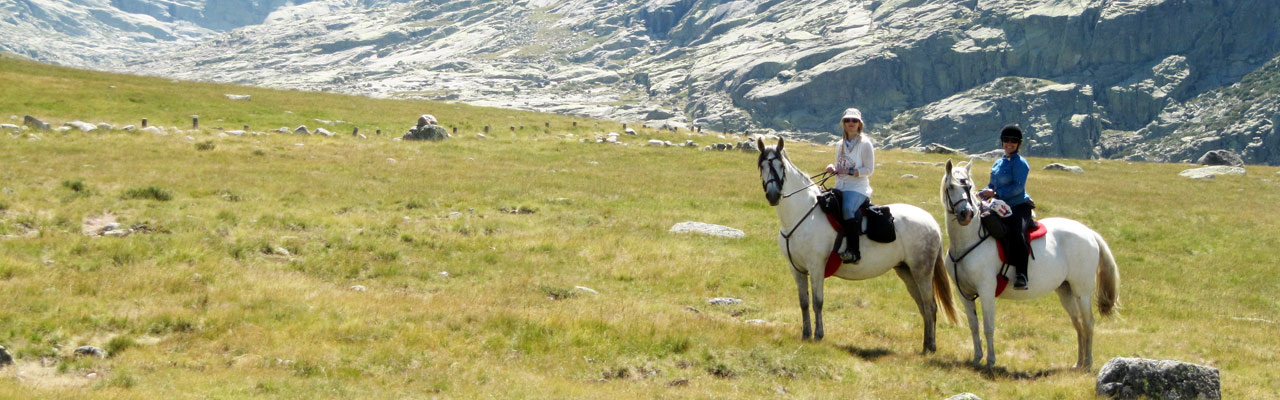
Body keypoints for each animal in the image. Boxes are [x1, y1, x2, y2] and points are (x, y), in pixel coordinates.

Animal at [752, 138, 957, 353]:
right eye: (762, 166)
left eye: (781, 166)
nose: (773, 195)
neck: (802, 214)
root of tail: (932, 223)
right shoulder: (797, 269)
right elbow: (804, 302)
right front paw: (806, 334)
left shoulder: (816, 267)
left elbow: (817, 302)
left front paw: (818, 335)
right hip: (906, 271)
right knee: (923, 306)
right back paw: (925, 346)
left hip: (921, 271)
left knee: (930, 305)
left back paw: (931, 347)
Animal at [942, 158, 1121, 369]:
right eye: (951, 186)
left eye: (968, 187)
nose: (966, 214)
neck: (968, 240)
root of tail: (1089, 233)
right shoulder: (965, 294)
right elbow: (974, 325)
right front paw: (977, 358)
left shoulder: (986, 290)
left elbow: (988, 326)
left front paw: (990, 361)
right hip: (1065, 290)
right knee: (1078, 323)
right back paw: (1078, 363)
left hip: (1082, 291)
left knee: (1088, 322)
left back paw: (1087, 363)